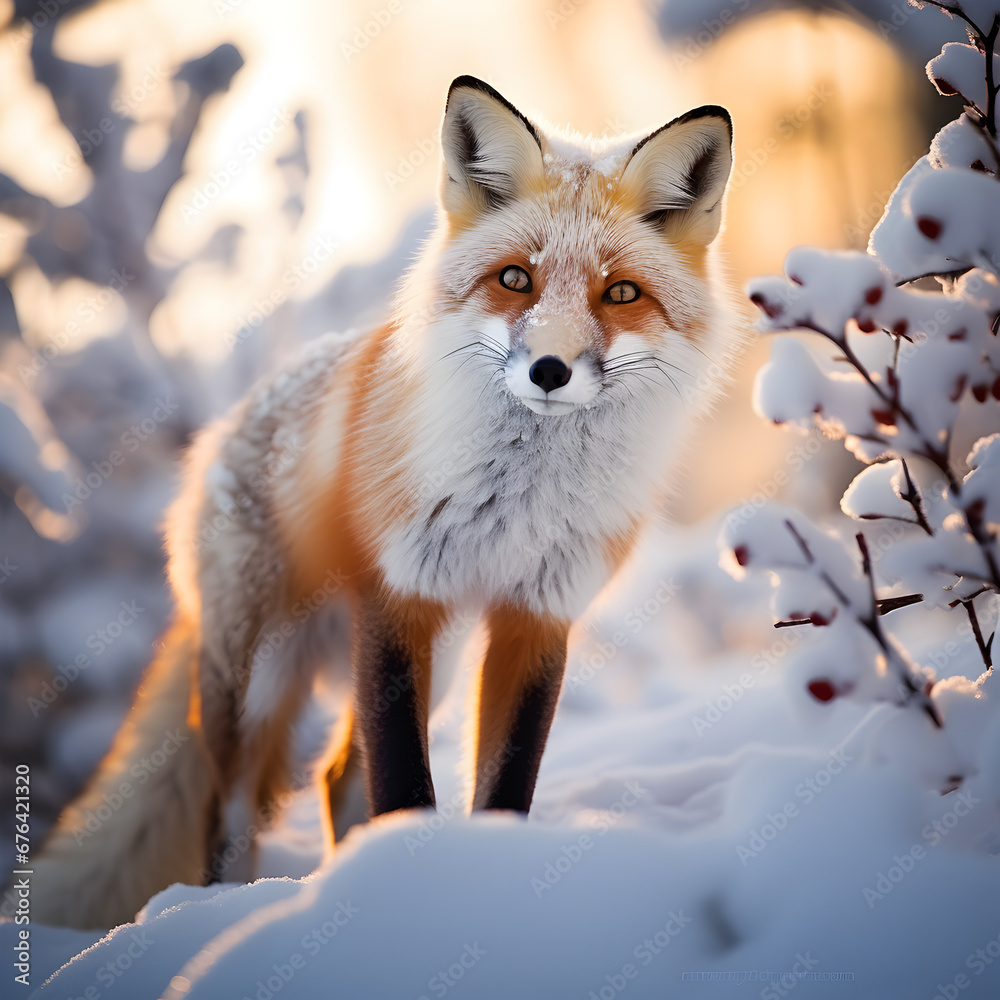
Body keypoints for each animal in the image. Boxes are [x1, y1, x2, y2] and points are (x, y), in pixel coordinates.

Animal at [28, 75, 738, 929]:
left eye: (621, 292)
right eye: (516, 279)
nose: (550, 370)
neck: (518, 498)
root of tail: (228, 427)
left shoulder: (538, 613)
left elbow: (503, 786)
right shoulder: (397, 596)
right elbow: (402, 785)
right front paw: (405, 902)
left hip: (439, 656)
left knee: (336, 777)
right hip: (259, 679)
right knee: (229, 811)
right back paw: (227, 910)